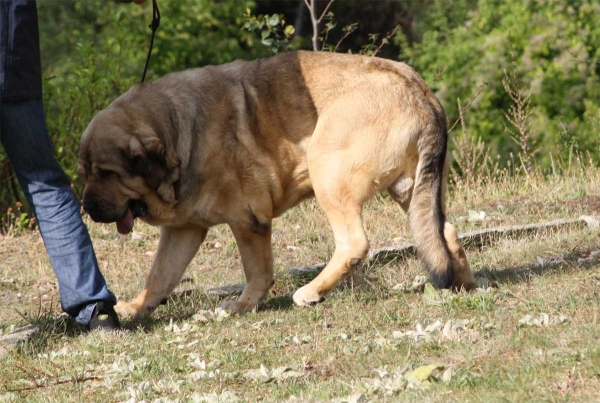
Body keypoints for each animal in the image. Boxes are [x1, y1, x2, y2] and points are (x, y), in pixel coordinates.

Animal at [78, 50, 474, 318]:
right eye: (85, 172)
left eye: (106, 172)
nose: (87, 207)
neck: (177, 132)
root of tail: (418, 90)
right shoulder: (183, 231)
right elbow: (160, 275)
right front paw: (137, 307)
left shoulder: (247, 220)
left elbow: (256, 271)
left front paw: (243, 305)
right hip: (413, 190)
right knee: (444, 232)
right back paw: (463, 284)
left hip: (327, 172)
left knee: (354, 243)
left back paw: (311, 291)